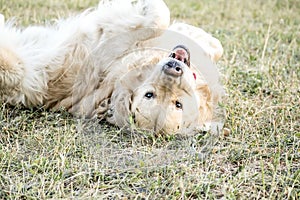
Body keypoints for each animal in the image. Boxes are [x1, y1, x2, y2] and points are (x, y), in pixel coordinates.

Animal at [0, 0, 224, 135]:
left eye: (178, 104)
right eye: (149, 95)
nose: (173, 68)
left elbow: (157, 19)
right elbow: (167, 20)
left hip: (18, 69)